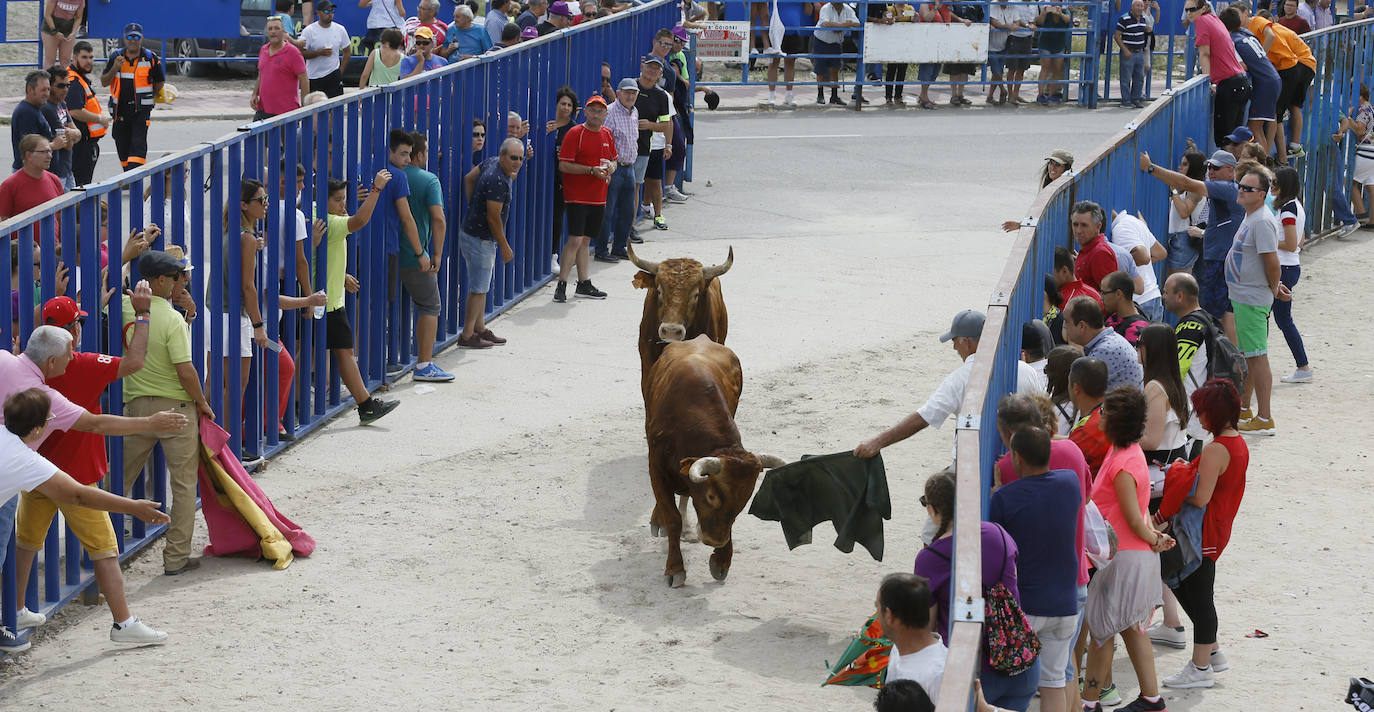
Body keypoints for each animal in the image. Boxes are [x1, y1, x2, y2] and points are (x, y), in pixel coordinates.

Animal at [637, 338, 780, 588]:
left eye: (745, 498)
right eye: (712, 496)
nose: (715, 540)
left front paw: (721, 561)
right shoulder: (655, 466)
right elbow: (672, 518)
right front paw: (675, 568)